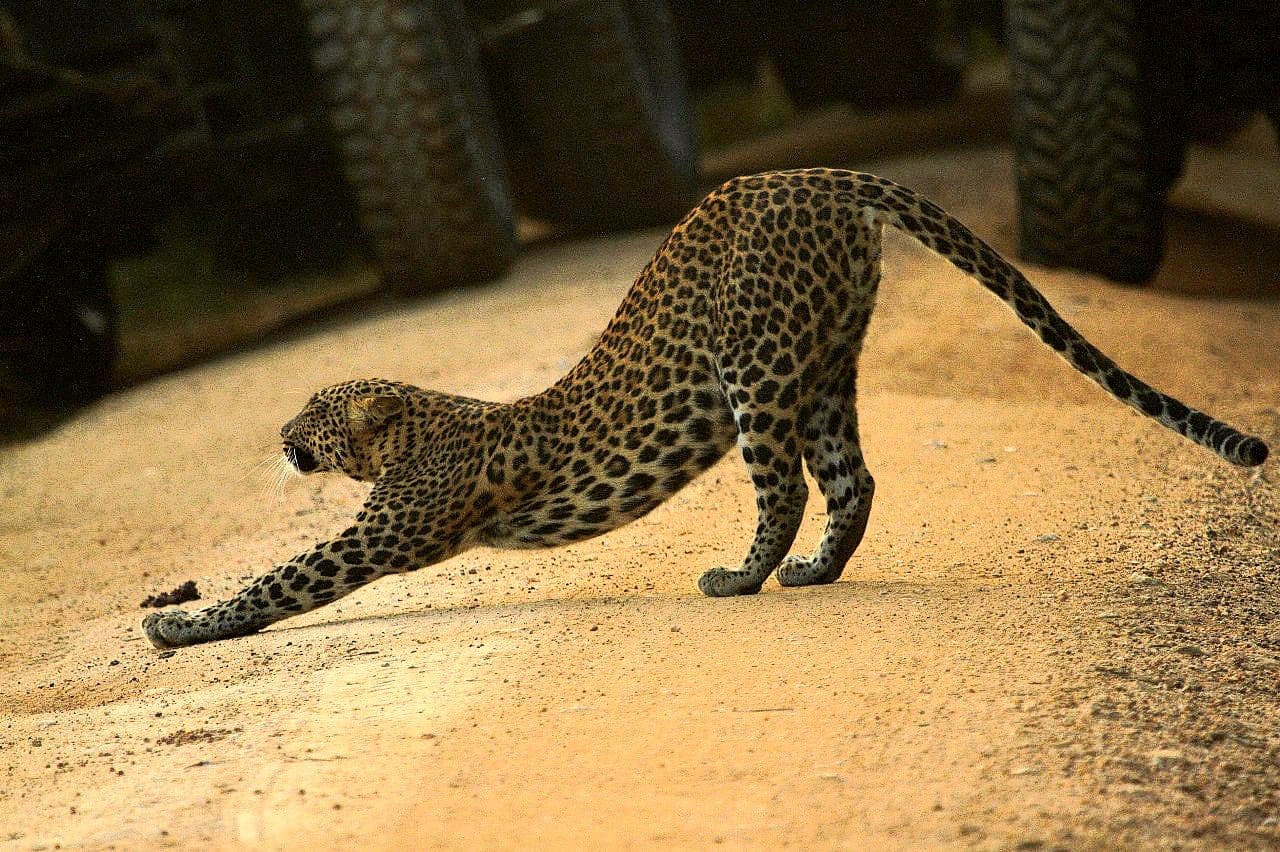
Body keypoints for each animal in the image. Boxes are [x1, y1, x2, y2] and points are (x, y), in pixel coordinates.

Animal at [143, 168, 1269, 649]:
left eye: (312, 412)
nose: (279, 439)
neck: (416, 427)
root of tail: (815, 174)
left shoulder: (384, 530)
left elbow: (282, 576)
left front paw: (181, 625)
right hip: (826, 359)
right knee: (852, 477)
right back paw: (814, 574)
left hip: (755, 364)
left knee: (783, 487)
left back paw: (742, 578)